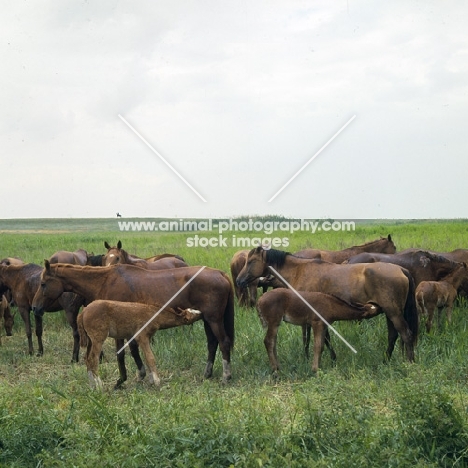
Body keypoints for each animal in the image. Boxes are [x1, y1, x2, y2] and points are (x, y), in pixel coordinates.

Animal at [31, 262, 234, 386]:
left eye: (43, 283)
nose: (34, 307)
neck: (106, 281)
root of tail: (221, 274)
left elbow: (122, 354)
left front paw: (122, 380)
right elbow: (134, 350)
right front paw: (141, 374)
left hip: (213, 320)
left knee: (223, 343)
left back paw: (226, 377)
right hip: (207, 319)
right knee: (212, 344)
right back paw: (207, 374)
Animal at [236, 245, 418, 362]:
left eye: (250, 261)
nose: (238, 280)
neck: (299, 271)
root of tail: (401, 270)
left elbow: (307, 338)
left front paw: (307, 357)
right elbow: (326, 338)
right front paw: (332, 358)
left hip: (393, 313)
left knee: (406, 334)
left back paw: (409, 362)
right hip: (390, 313)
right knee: (393, 335)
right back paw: (386, 360)